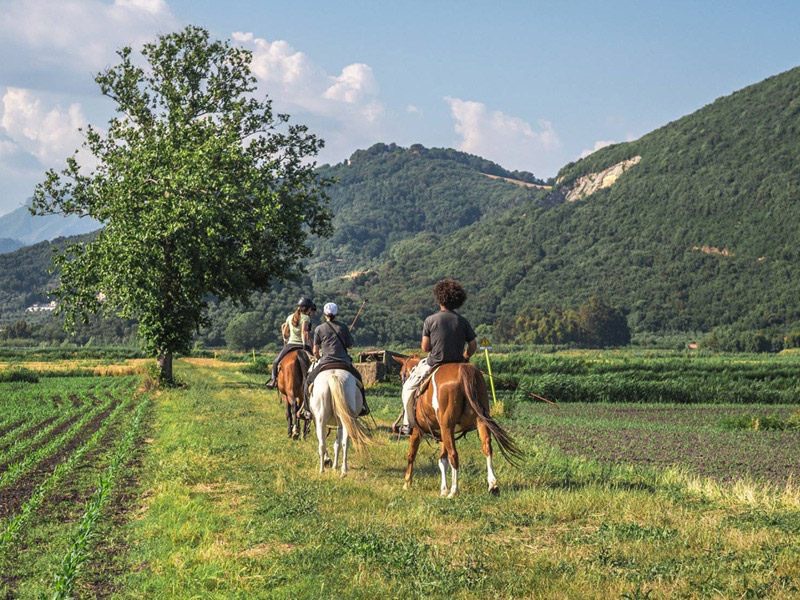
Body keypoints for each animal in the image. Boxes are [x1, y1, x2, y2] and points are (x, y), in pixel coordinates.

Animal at [392, 356, 520, 496]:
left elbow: (411, 454)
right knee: (487, 448)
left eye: (401, 374)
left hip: (447, 426)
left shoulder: (417, 430)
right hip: (480, 422)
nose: (403, 379)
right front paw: (443, 489)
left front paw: (407, 483)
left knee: (454, 454)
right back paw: (493, 485)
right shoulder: (442, 433)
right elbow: (442, 460)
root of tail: (463, 370)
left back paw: (454, 490)